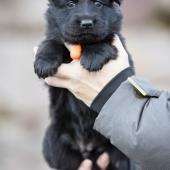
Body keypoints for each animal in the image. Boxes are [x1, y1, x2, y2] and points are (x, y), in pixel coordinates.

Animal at [34, 0, 132, 170]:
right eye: (70, 4)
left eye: (98, 4)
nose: (86, 23)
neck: (82, 44)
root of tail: (88, 147)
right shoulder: (55, 36)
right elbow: (52, 41)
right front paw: (44, 62)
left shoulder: (116, 41)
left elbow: (102, 39)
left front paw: (93, 55)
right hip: (53, 141)